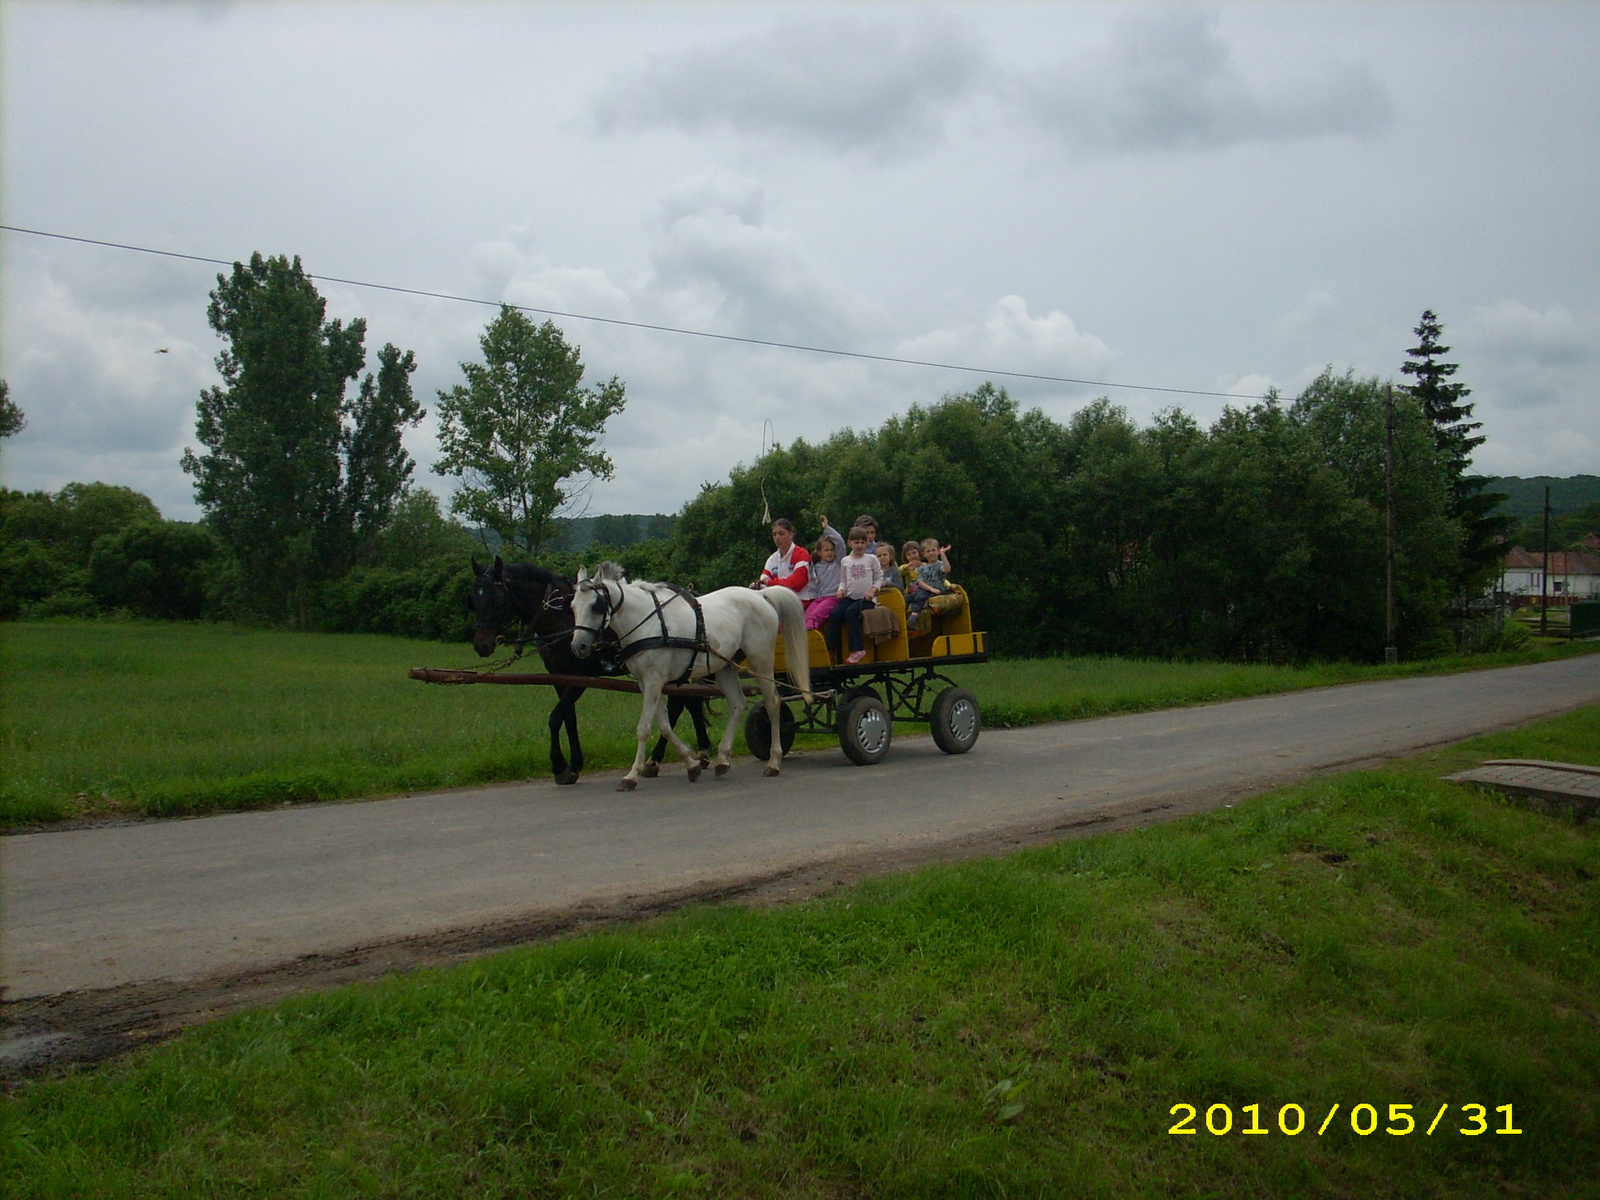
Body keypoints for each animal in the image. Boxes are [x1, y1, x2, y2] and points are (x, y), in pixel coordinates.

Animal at [467, 556, 710, 784]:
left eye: (496, 598)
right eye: (473, 600)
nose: (481, 645)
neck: (560, 618)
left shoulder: (582, 676)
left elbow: (555, 717)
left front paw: (559, 765)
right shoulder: (559, 677)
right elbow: (568, 718)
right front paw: (573, 764)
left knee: (680, 705)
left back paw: (661, 759)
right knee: (690, 703)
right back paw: (698, 752)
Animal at [569, 566, 812, 793]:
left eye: (596, 606)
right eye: (572, 606)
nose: (578, 646)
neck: (647, 623)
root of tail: (761, 595)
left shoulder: (654, 680)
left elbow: (644, 728)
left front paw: (631, 776)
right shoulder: (646, 683)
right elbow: (665, 725)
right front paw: (692, 764)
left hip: (760, 659)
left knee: (772, 703)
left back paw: (773, 762)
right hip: (725, 666)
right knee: (737, 703)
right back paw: (722, 760)